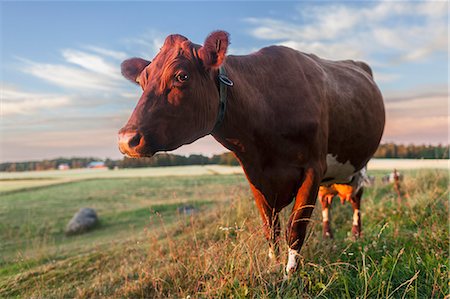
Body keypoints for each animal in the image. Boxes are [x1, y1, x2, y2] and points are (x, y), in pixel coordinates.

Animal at [118, 30, 384, 274]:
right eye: (142, 81)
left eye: (182, 76)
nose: (126, 139)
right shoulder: (255, 173)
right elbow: (270, 227)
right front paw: (273, 266)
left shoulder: (313, 167)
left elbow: (296, 227)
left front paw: (290, 274)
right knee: (327, 200)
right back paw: (329, 235)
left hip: (360, 167)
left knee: (356, 199)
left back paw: (356, 235)